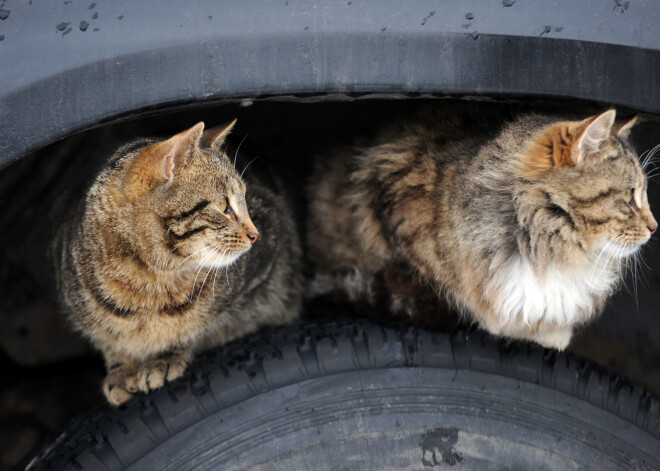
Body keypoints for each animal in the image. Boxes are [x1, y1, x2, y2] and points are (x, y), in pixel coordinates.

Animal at [52, 120, 302, 404]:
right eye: (222, 204)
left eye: (247, 200)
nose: (255, 234)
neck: (148, 279)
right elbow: (109, 340)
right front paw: (122, 370)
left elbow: (196, 326)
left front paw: (164, 357)